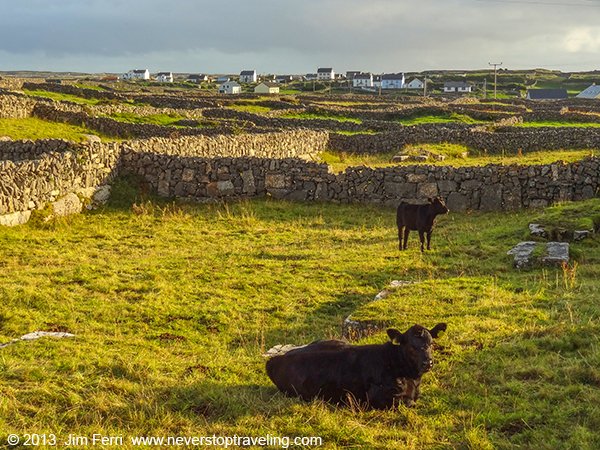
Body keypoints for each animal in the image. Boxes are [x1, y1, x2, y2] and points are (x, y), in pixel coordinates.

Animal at [266, 322, 446, 410]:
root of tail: (275, 360)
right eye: (411, 347)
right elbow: (410, 403)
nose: (428, 362)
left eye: (431, 343)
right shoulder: (377, 397)